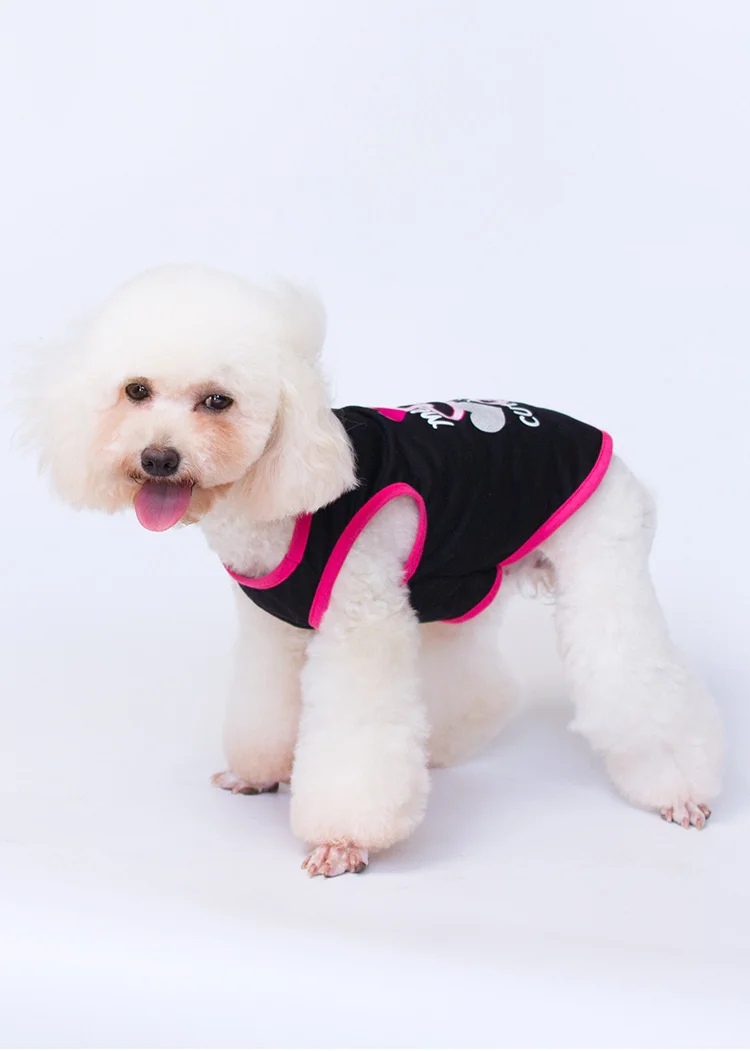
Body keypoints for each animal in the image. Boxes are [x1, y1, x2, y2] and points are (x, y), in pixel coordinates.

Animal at [25, 265, 723, 877]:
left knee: (638, 676)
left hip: (602, 562)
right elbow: (266, 706)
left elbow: (356, 735)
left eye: (218, 401)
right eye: (136, 391)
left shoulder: (359, 618)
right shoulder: (274, 628)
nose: (158, 458)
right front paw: (259, 772)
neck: (282, 499)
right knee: (478, 682)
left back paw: (681, 789)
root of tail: (605, 442)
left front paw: (344, 840)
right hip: (460, 581)